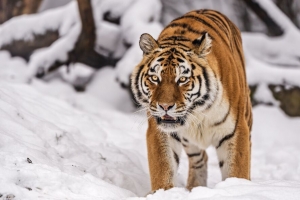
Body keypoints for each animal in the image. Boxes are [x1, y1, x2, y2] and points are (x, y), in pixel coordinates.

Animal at [130, 9, 252, 192]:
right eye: (154, 78)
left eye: (182, 79)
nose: (165, 106)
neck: (199, 111)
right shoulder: (160, 131)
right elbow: (163, 168)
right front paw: (164, 192)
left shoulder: (236, 130)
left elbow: (237, 170)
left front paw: (238, 188)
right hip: (189, 140)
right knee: (200, 158)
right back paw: (194, 188)